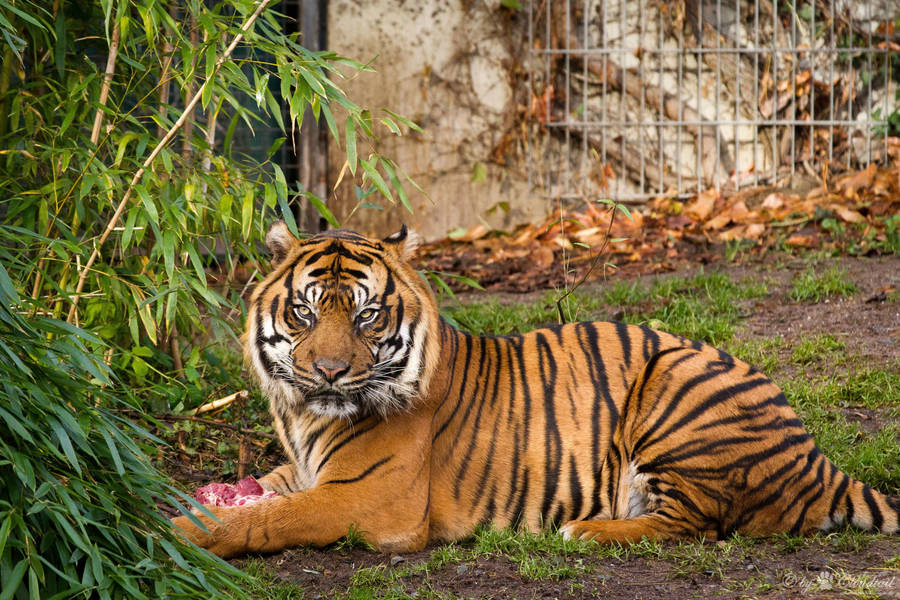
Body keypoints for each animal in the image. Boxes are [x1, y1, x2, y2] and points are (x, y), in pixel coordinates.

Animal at [172, 222, 900, 558]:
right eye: (304, 311)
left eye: (367, 315)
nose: (326, 372)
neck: (306, 416)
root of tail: (818, 459)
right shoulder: (300, 472)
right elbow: (245, 497)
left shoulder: (368, 500)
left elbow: (267, 520)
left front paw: (181, 535)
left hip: (676, 391)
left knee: (693, 524)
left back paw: (586, 530)